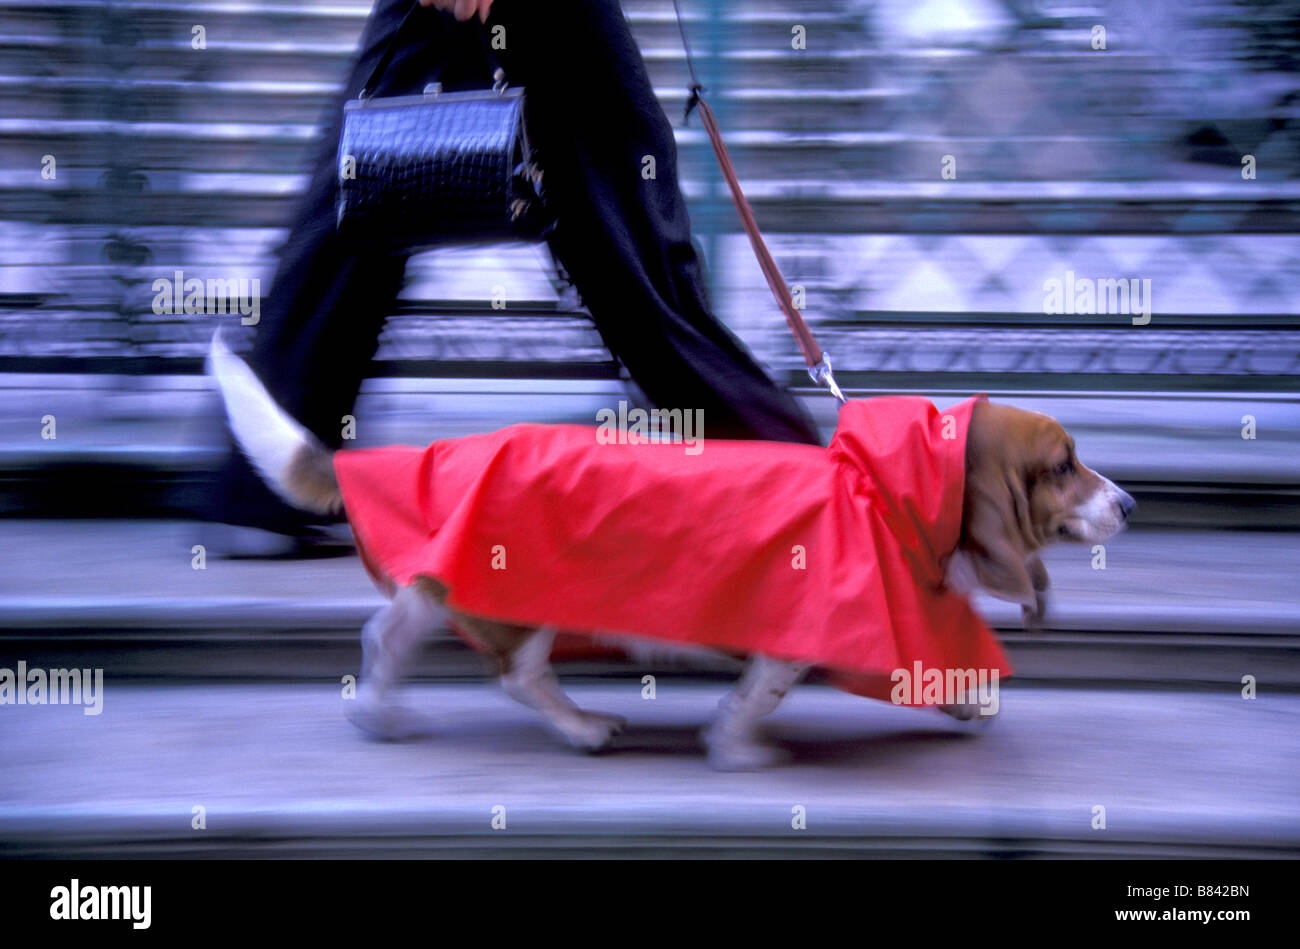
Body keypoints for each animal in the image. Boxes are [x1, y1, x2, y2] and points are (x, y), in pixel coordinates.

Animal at [208, 338, 1133, 769]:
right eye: (1062, 465)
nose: (1127, 504)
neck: (879, 486)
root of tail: (433, 458)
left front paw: (969, 705)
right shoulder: (787, 642)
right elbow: (758, 695)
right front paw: (740, 751)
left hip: (441, 594)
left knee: (388, 636)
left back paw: (381, 714)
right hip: (534, 608)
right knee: (519, 676)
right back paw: (583, 727)